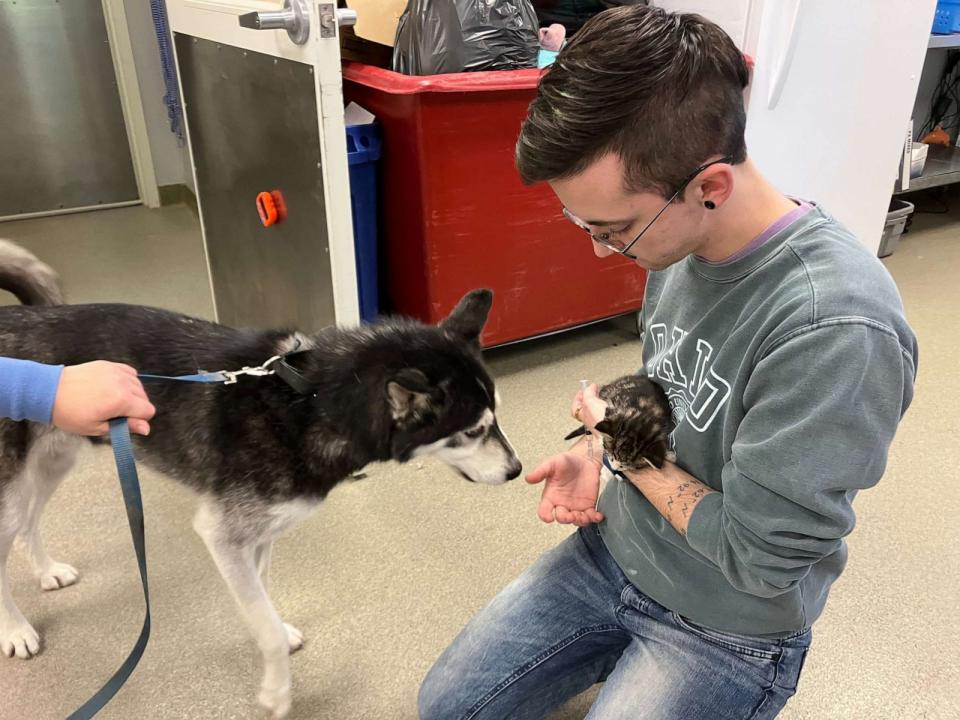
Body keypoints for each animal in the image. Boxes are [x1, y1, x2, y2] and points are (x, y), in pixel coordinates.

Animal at [0, 240, 520, 716]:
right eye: (472, 431)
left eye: (497, 416)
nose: (516, 470)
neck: (314, 402)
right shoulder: (222, 534)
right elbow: (263, 623)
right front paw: (276, 690)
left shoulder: (262, 532)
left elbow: (262, 598)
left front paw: (274, 633)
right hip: (11, 488)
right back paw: (18, 631)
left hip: (54, 461)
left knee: (29, 523)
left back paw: (46, 571)